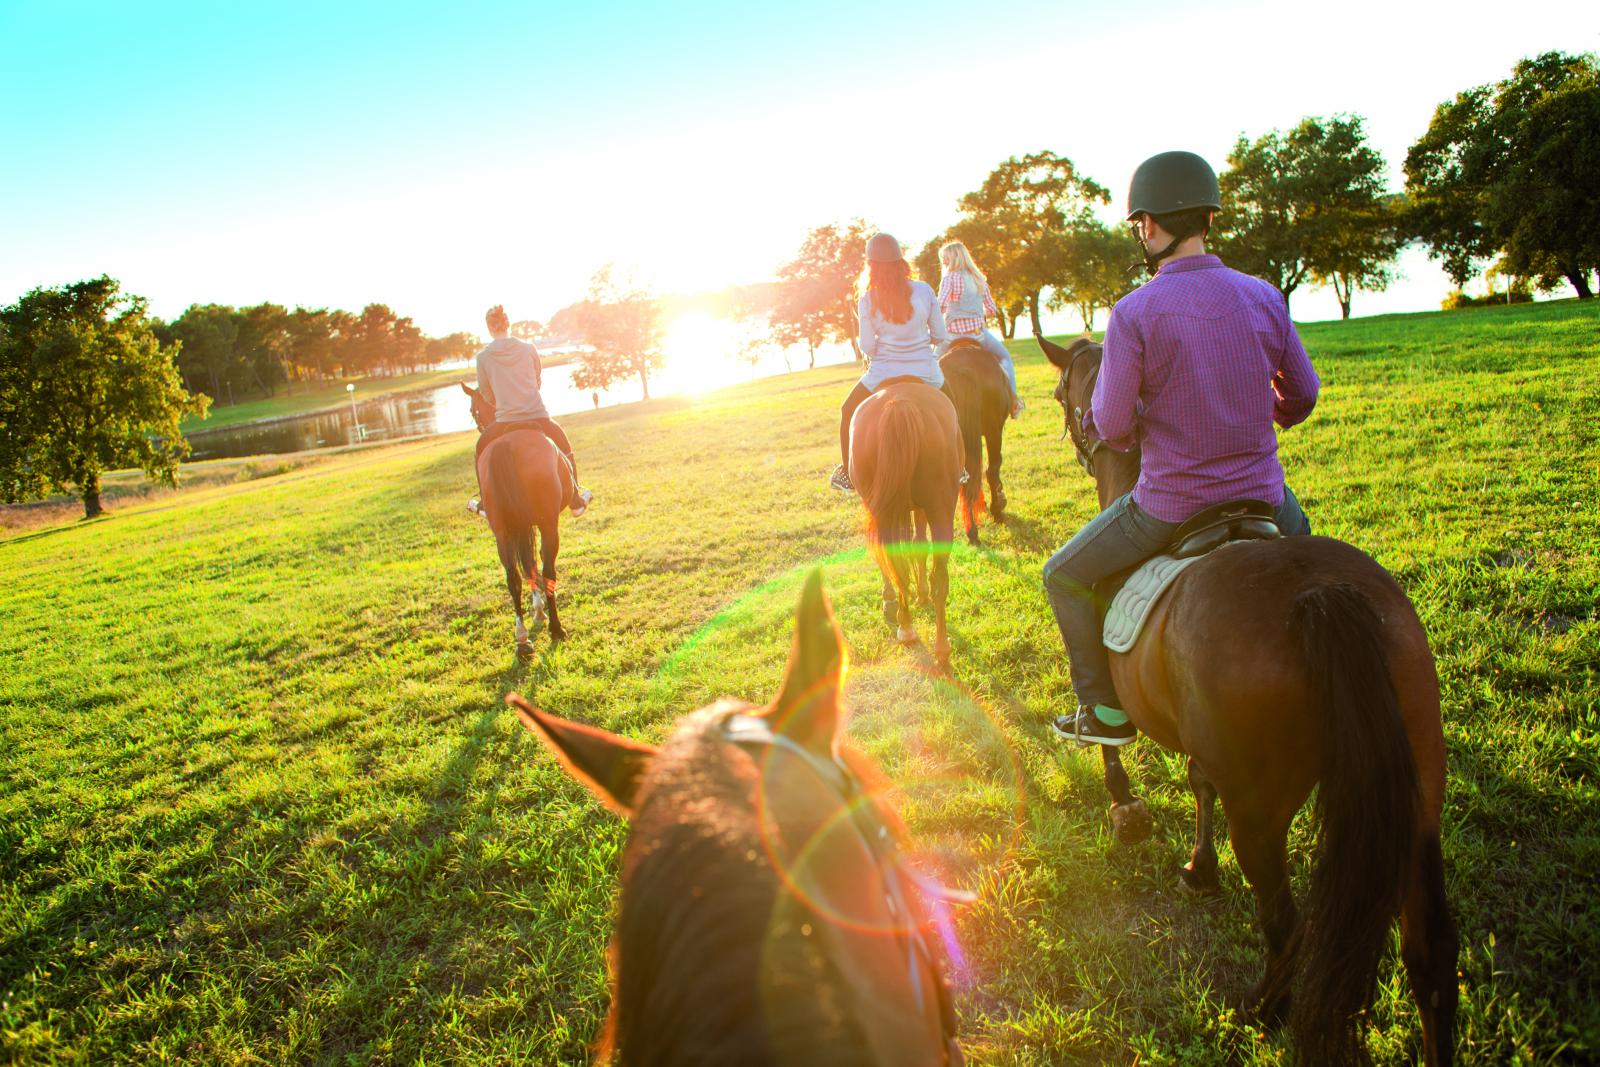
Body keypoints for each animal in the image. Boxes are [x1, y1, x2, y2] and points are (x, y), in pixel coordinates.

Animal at [460, 379, 566, 655]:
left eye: (472, 411)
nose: (480, 425)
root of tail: (506, 444)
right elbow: (533, 562)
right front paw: (540, 611)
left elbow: (526, 564)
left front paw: (537, 611)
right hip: (548, 523)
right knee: (547, 569)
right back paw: (556, 628)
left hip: (502, 530)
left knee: (513, 578)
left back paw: (522, 639)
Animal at [851, 382, 960, 668]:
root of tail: (899, 404)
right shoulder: (919, 508)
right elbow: (918, 545)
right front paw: (920, 594)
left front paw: (892, 598)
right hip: (939, 507)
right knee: (937, 574)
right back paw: (938, 645)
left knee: (896, 564)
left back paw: (907, 628)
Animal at [1036, 335, 1465, 1067]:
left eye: (1066, 392)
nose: (1080, 436)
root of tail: (1320, 595)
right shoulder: (1208, 745)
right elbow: (1198, 779)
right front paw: (1200, 868)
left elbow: (1109, 739)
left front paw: (1127, 809)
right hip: (1415, 797)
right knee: (1429, 956)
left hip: (1262, 816)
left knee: (1287, 927)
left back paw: (1264, 1009)